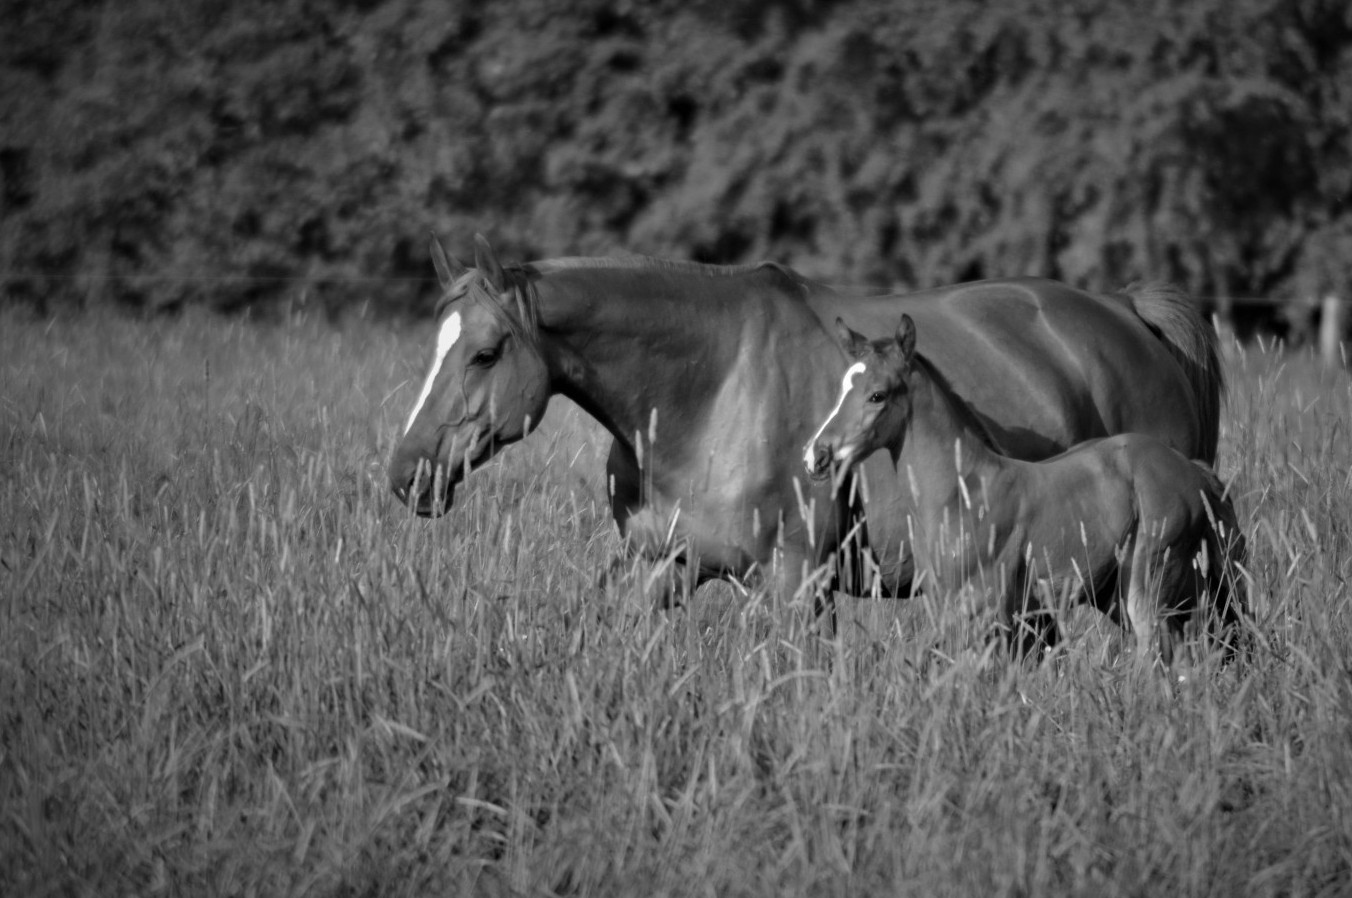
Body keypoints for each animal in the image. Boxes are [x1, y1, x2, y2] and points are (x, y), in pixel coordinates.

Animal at [389, 233, 1224, 621]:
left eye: (485, 352)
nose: (407, 474)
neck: (711, 389)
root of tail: (1126, 313)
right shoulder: (660, 565)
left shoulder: (796, 581)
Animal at [804, 315, 1247, 665]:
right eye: (842, 388)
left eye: (877, 395)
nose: (815, 455)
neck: (963, 493)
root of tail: (1190, 470)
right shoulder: (949, 608)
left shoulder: (984, 612)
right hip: (1138, 590)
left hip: (1148, 579)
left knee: (1155, 652)